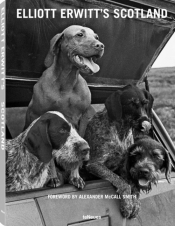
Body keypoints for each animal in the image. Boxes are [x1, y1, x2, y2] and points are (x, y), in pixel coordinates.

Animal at [84, 84, 154, 218]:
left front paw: (135, 204)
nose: (146, 124)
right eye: (131, 103)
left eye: (145, 103)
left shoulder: (126, 166)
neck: (122, 131)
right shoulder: (94, 164)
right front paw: (127, 205)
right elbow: (122, 182)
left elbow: (134, 186)